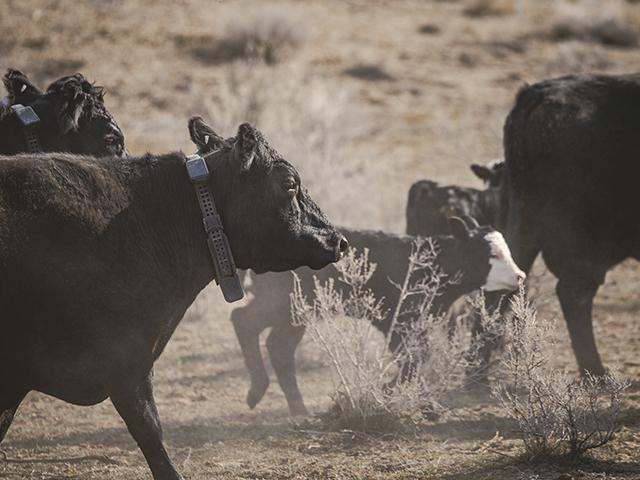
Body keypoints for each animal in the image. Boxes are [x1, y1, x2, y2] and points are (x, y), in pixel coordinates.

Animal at [230, 217, 524, 416]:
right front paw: (391, 392)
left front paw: (426, 404)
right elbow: (413, 358)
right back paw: (258, 391)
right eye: (492, 253)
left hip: (295, 311)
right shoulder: (398, 322)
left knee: (277, 345)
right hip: (282, 304)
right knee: (244, 320)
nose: (520, 275)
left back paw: (296, 407)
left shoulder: (413, 323)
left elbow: (417, 357)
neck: (430, 266)